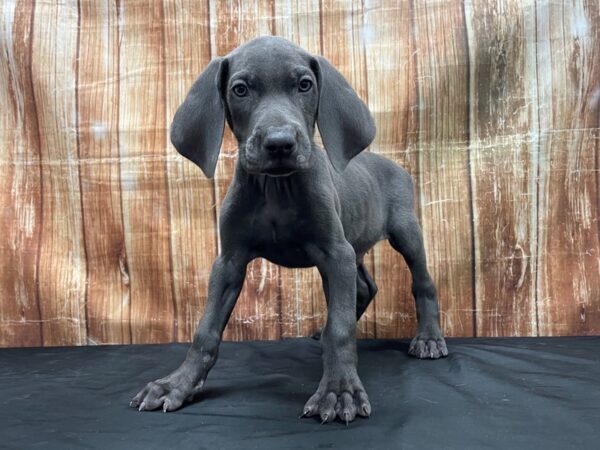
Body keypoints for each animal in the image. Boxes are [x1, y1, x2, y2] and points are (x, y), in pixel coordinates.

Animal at [132, 37, 450, 424]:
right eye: (240, 89)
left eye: (304, 85)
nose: (280, 143)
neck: (276, 188)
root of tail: (394, 164)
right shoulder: (230, 261)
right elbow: (205, 330)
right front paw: (177, 384)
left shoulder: (335, 252)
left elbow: (340, 329)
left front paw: (339, 391)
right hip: (353, 245)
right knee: (364, 287)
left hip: (404, 232)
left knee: (422, 282)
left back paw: (429, 338)